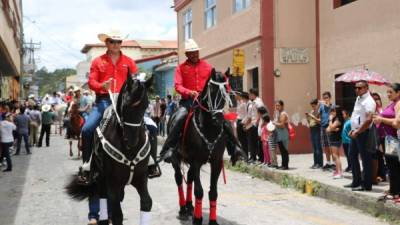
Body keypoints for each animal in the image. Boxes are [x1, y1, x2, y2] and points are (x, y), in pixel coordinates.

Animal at [65, 72, 153, 225]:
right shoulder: (113, 181)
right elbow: (117, 214)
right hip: (101, 178)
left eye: (146, 105)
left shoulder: (141, 178)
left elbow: (146, 202)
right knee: (101, 197)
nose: (132, 141)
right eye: (126, 104)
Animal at [169, 68, 231, 225]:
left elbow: (213, 193)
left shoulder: (216, 162)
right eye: (211, 90)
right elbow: (199, 191)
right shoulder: (196, 161)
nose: (218, 119)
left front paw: (212, 221)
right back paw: (183, 209)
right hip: (176, 158)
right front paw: (198, 219)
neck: (209, 129)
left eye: (226, 92)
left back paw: (190, 206)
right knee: (179, 179)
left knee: (189, 178)